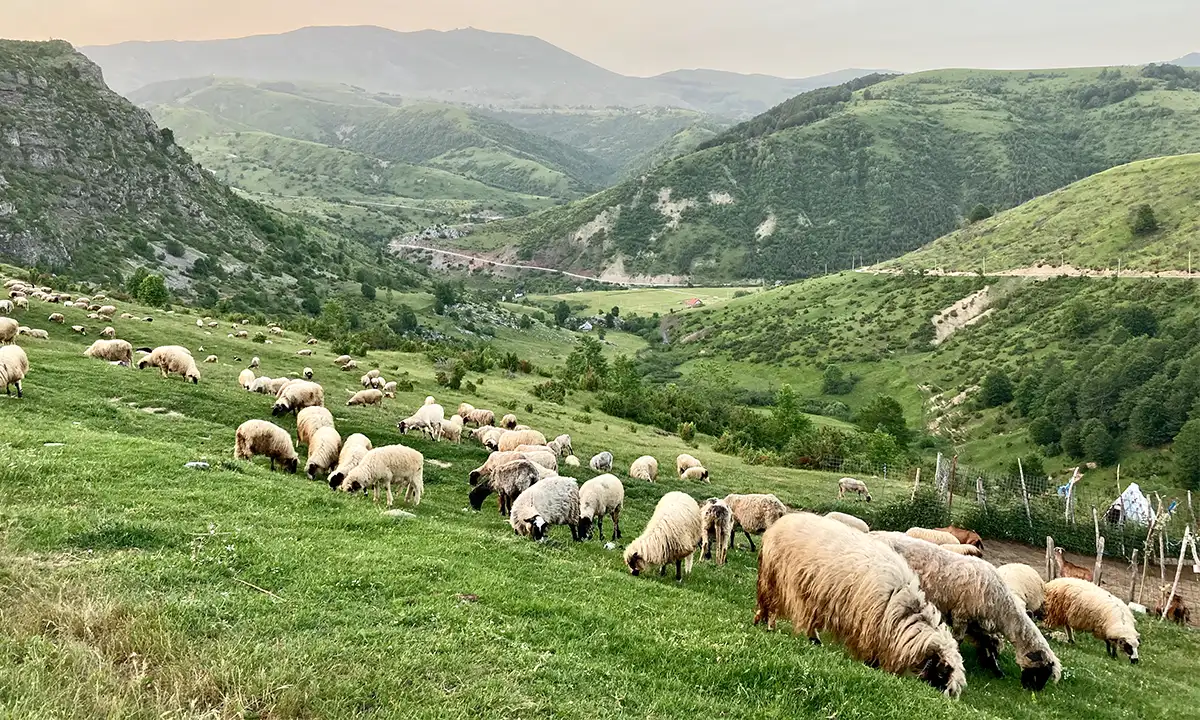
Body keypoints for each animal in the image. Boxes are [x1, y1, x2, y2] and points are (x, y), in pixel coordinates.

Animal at [753, 513, 969, 696]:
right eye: (942, 673)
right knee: (769, 604)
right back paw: (768, 624)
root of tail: (782, 521)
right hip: (773, 576)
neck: (901, 609)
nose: (937, 697)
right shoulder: (870, 622)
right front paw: (871, 665)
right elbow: (869, 648)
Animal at [873, 530, 1060, 691]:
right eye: (1042, 670)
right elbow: (959, 641)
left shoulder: (977, 624)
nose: (1034, 690)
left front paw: (995, 670)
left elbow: (988, 647)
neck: (1002, 607)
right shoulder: (961, 616)